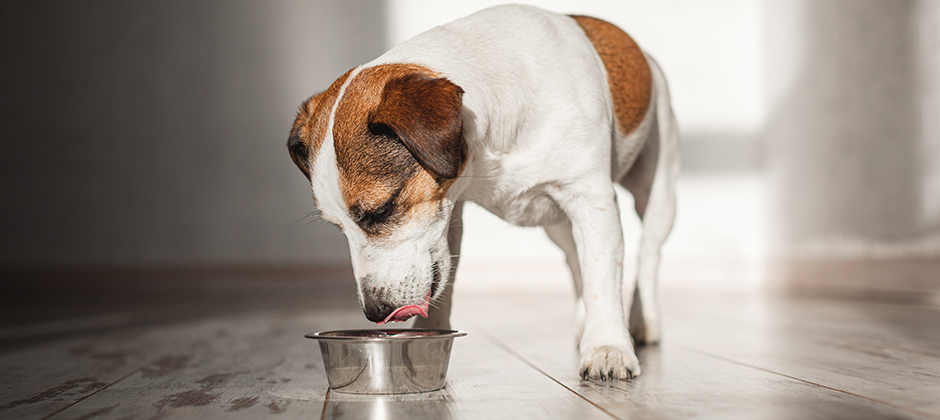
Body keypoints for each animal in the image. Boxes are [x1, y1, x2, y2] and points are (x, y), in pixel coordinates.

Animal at [286, 4, 676, 380]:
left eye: (382, 209)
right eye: (337, 227)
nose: (375, 311)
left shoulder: (591, 200)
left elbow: (602, 276)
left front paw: (608, 347)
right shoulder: (448, 214)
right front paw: (426, 337)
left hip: (658, 193)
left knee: (648, 253)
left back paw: (643, 322)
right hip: (556, 225)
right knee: (574, 258)